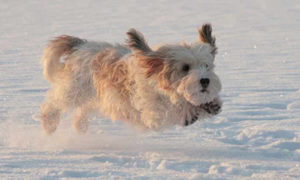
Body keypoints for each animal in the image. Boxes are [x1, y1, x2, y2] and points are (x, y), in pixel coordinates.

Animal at [39, 23, 221, 134]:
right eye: (185, 68)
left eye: (206, 66)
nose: (205, 81)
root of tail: (81, 45)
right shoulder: (153, 114)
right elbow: (174, 109)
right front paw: (189, 110)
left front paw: (211, 104)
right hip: (74, 89)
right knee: (53, 103)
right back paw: (49, 123)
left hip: (93, 94)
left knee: (82, 109)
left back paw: (80, 125)